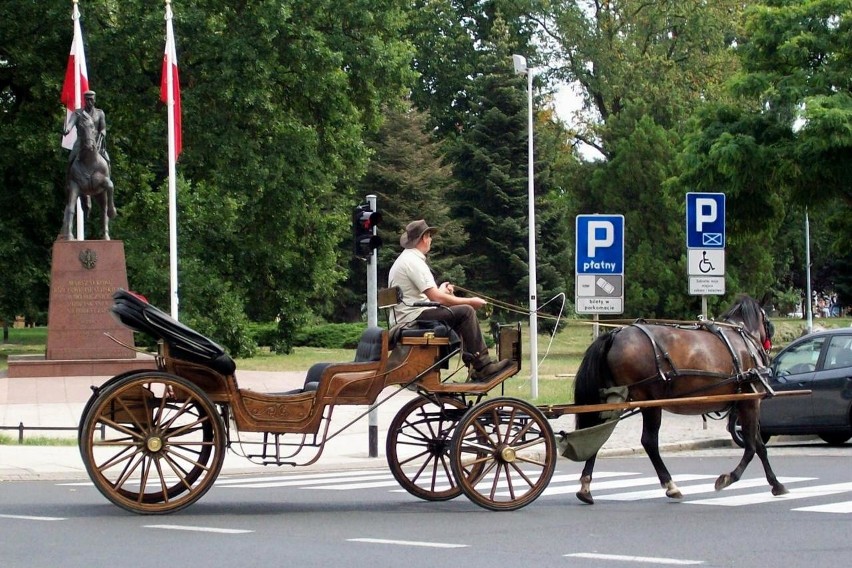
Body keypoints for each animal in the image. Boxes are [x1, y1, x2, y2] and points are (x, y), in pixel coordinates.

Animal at [572, 296, 784, 504]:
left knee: (595, 434)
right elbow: (751, 447)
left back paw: (585, 487)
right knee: (648, 441)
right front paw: (728, 478)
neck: (744, 340)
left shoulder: (743, 403)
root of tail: (615, 334)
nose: (770, 345)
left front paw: (775, 483)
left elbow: (759, 446)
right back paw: (671, 485)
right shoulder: (750, 401)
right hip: (650, 402)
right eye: (767, 320)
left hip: (614, 398)